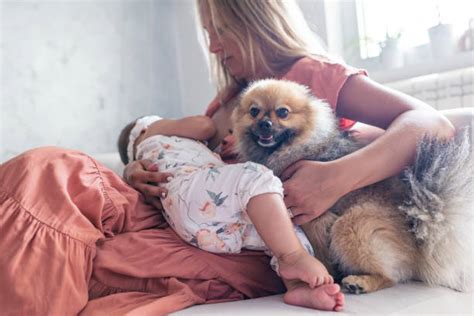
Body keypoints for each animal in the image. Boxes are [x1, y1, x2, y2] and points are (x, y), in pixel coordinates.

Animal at [231, 79, 472, 294]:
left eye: (282, 112)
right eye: (254, 111)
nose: (265, 124)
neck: (295, 148)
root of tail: (420, 244)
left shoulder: (314, 217)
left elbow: (319, 253)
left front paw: (324, 276)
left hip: (351, 226)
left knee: (390, 278)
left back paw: (360, 282)